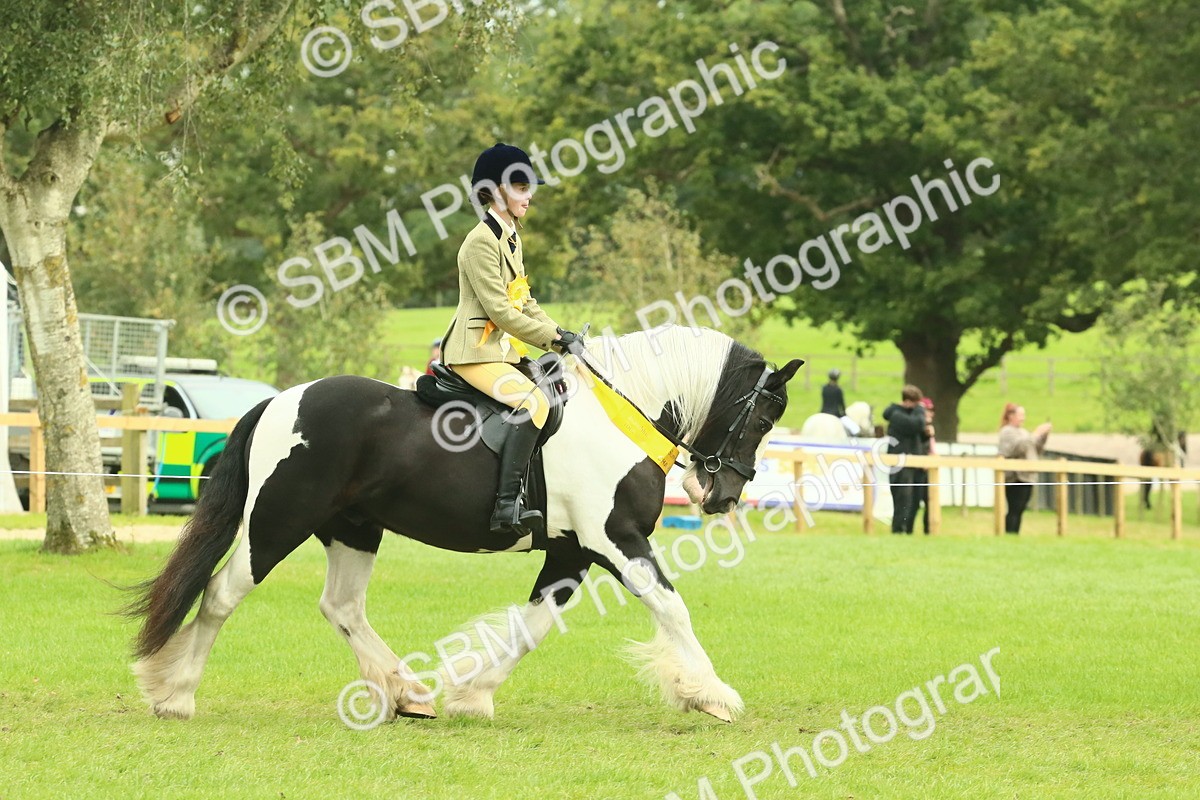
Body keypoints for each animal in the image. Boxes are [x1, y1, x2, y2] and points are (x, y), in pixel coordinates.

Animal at [125, 326, 802, 724]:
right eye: (765, 416)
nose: (722, 495)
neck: (620, 415)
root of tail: (279, 400)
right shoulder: (614, 539)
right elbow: (671, 607)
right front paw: (712, 693)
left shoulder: (571, 551)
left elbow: (533, 625)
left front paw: (473, 695)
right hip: (278, 519)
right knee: (222, 594)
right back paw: (176, 695)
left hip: (354, 526)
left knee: (342, 607)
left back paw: (407, 692)